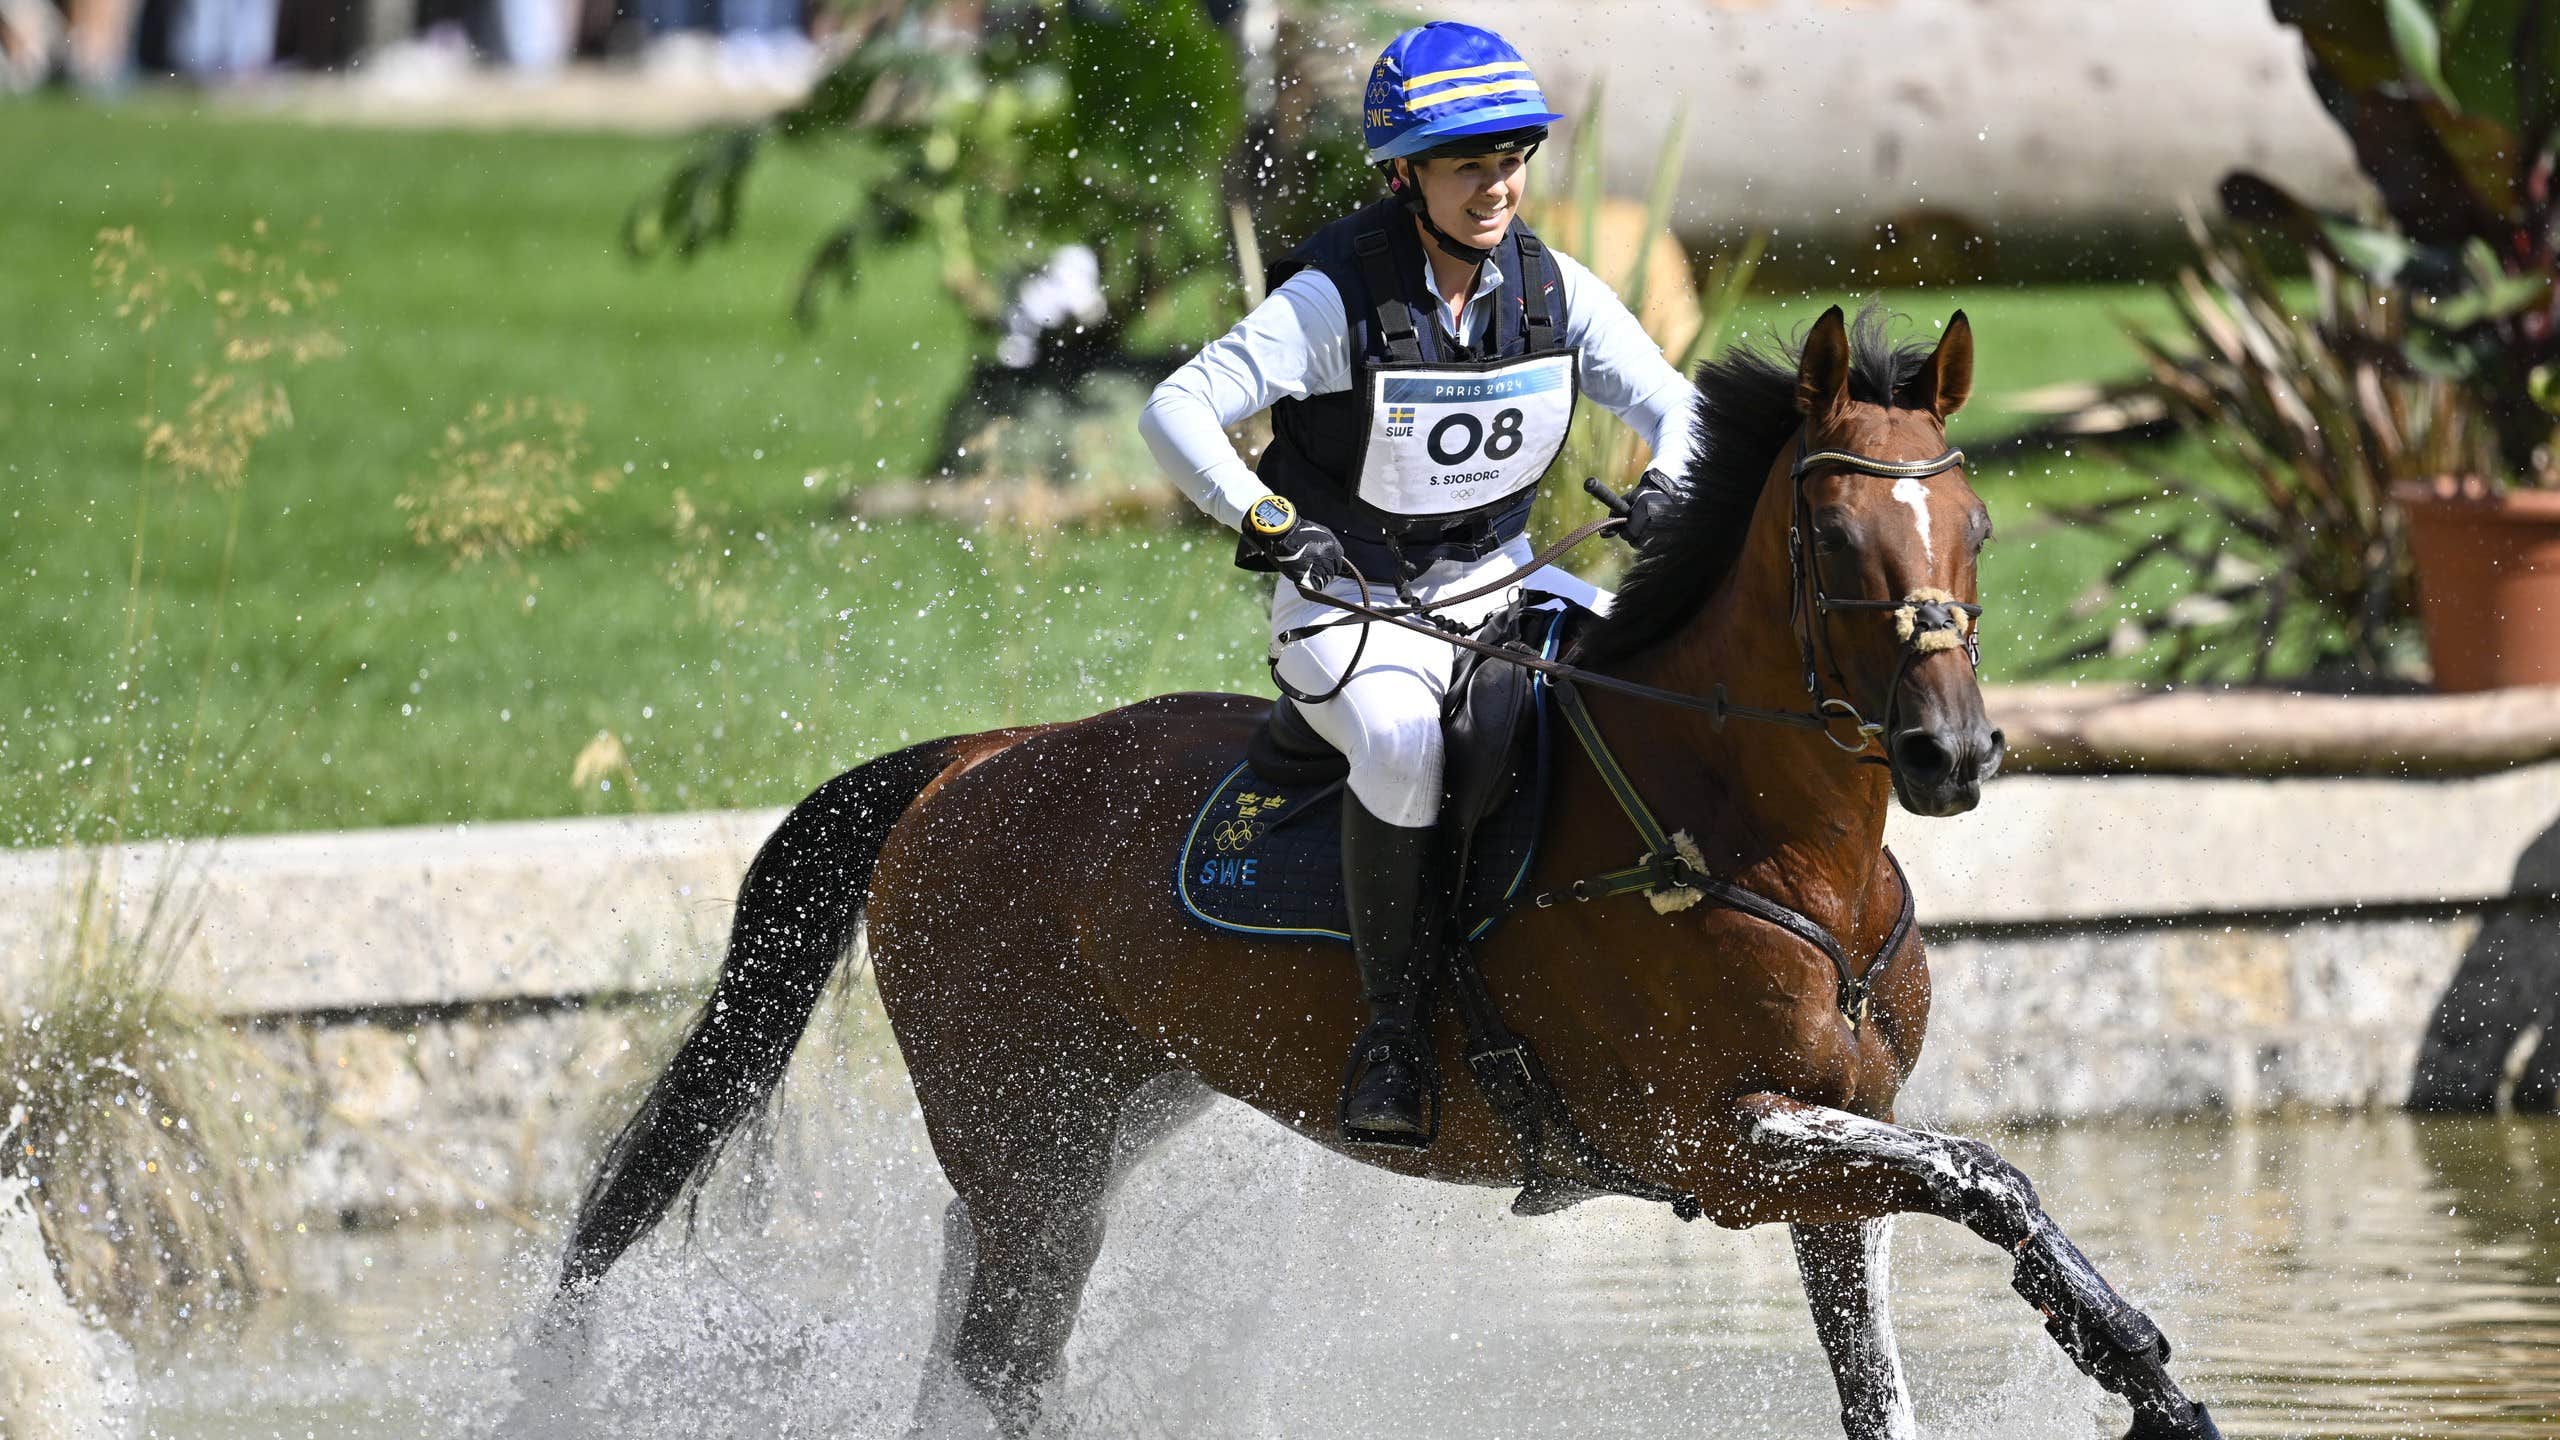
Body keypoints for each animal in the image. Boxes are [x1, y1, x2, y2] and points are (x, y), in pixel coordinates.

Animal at [555, 304, 2222, 1434]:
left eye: (1976, 525)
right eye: (1828, 538)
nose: (1955, 755)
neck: (1780, 840)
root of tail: (973, 760)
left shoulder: (1832, 1161)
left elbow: (1891, 1362)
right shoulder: (1727, 1152)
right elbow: (1992, 1176)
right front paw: (2144, 1368)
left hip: (1092, 1125)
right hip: (1033, 1145)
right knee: (1004, 1362)